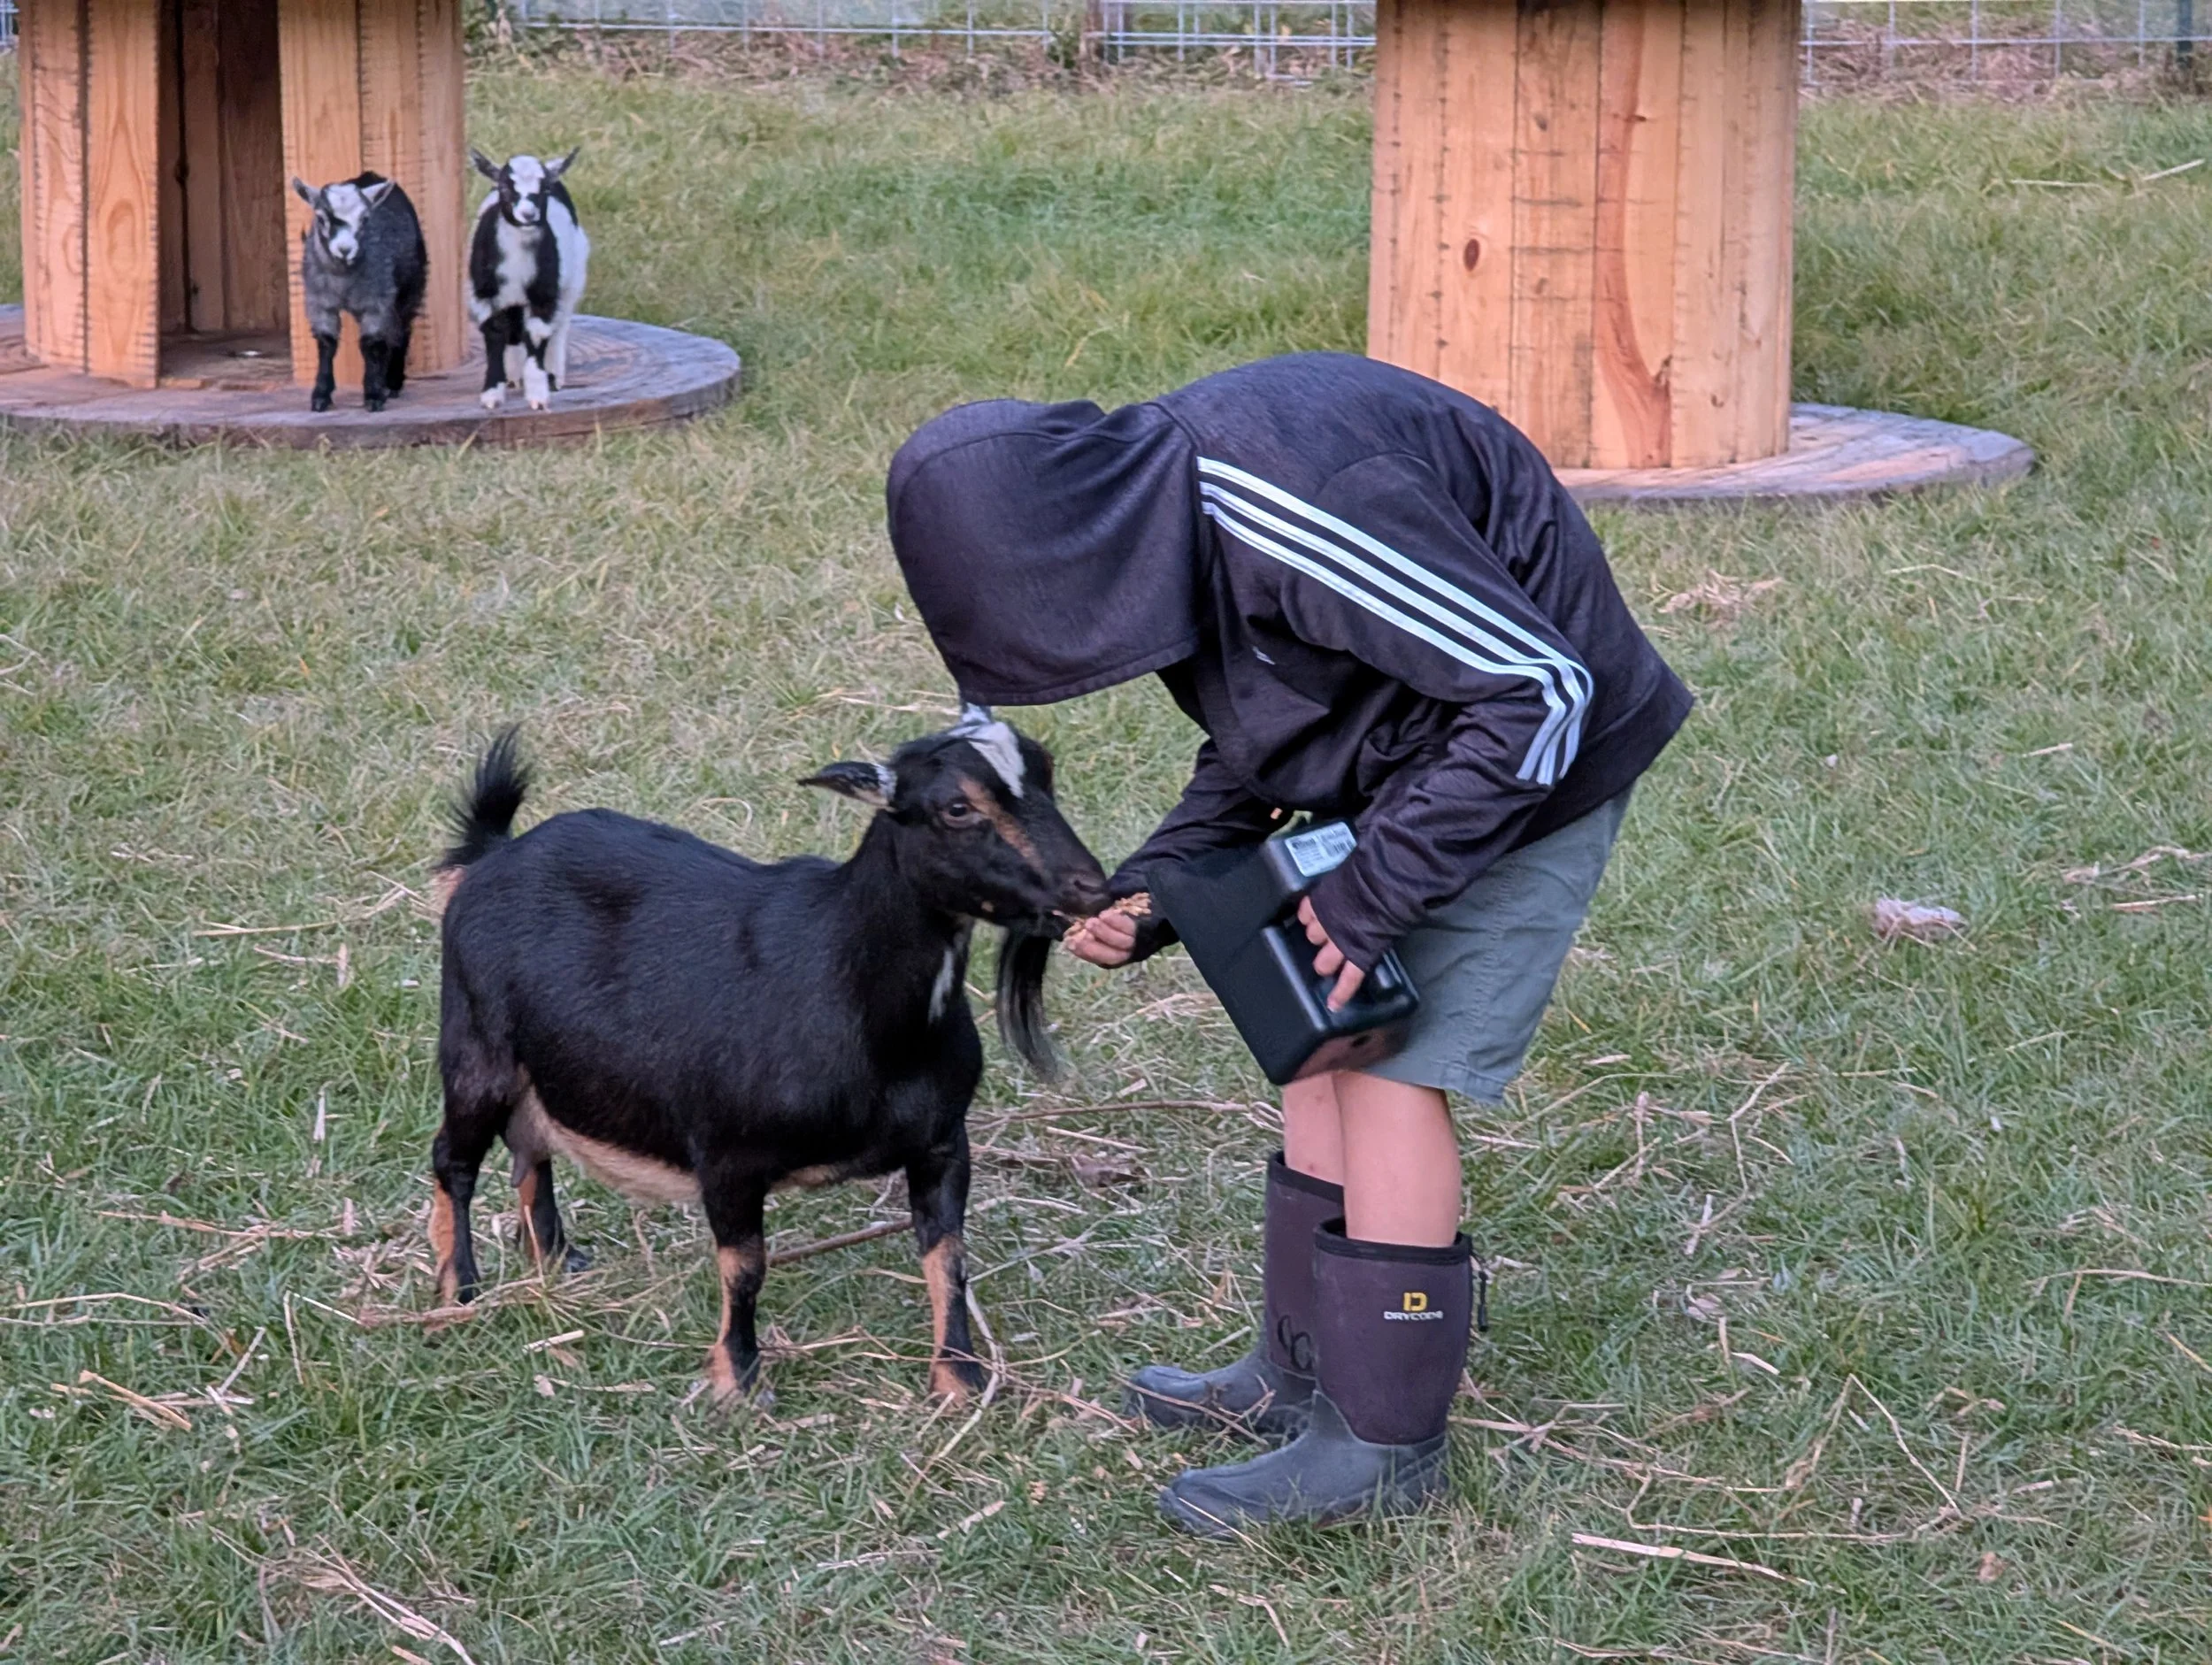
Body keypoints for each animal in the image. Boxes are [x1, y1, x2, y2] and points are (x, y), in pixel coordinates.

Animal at [290, 172, 427, 413]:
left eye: (364, 219)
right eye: (321, 218)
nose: (345, 250)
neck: (343, 279)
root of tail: (372, 175)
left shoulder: (376, 301)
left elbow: (371, 343)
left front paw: (373, 395)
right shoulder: (319, 303)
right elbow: (327, 344)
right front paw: (321, 396)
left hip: (409, 287)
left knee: (401, 330)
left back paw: (392, 382)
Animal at [429, 715, 1109, 1402]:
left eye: (1048, 774)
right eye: (958, 807)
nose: (1089, 886)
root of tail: (494, 853)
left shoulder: (942, 1142)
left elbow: (949, 1257)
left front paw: (959, 1377)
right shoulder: (727, 1155)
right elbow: (745, 1268)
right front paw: (737, 1379)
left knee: (531, 1146)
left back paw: (556, 1257)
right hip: (476, 1048)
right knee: (453, 1159)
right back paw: (457, 1291)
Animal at [468, 149, 589, 412]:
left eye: (544, 189)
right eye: (504, 187)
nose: (528, 214)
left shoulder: (544, 294)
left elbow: (537, 335)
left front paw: (538, 395)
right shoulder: (484, 295)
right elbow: (494, 333)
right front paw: (492, 393)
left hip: (571, 281)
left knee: (559, 327)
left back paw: (554, 375)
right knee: (513, 331)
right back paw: (513, 375)